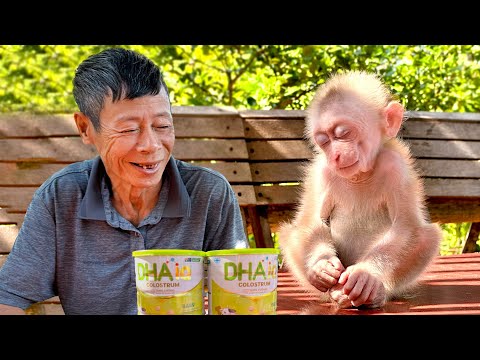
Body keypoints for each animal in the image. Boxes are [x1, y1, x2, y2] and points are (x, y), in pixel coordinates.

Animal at [278, 70, 442, 310]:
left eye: (344, 134)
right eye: (324, 141)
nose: (336, 155)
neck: (360, 176)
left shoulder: (396, 166)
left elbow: (406, 228)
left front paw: (367, 275)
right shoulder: (321, 171)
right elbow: (311, 223)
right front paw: (321, 266)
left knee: (425, 236)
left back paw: (374, 293)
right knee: (292, 232)